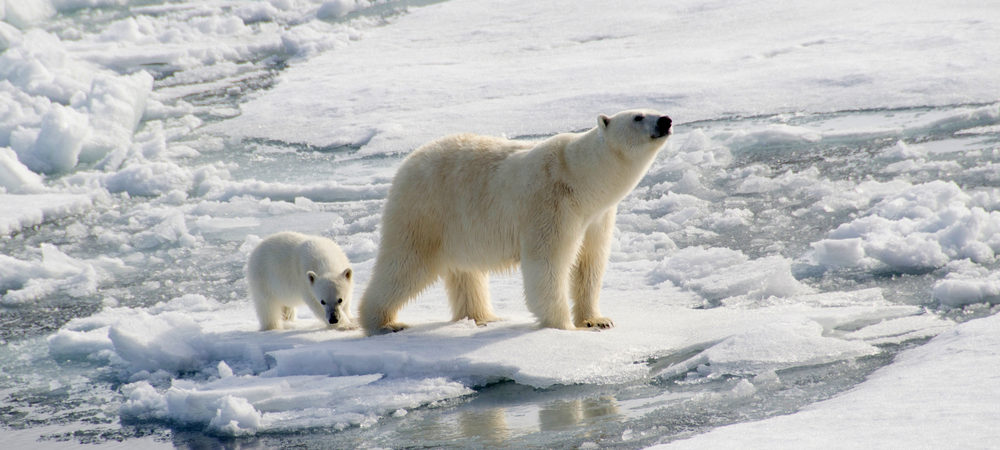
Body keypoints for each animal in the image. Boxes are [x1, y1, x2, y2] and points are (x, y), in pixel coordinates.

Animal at [360, 109, 672, 334]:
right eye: (638, 116)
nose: (666, 120)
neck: (581, 180)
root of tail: (406, 163)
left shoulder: (597, 216)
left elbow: (590, 264)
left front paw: (597, 320)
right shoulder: (551, 204)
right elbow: (547, 263)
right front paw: (563, 327)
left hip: (457, 226)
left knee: (465, 272)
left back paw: (482, 316)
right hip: (425, 211)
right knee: (405, 263)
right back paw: (384, 322)